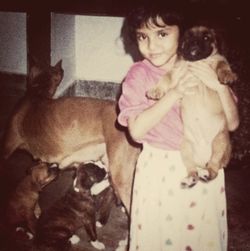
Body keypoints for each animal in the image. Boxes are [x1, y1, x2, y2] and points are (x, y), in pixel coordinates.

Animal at [147, 26, 237, 187]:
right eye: (188, 37)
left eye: (206, 37)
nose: (194, 43)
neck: (195, 62)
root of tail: (202, 161)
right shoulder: (176, 71)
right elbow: (165, 77)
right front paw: (156, 90)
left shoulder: (218, 61)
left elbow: (223, 66)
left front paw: (227, 75)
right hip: (186, 148)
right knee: (192, 168)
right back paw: (191, 178)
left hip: (219, 143)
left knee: (214, 167)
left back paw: (207, 173)